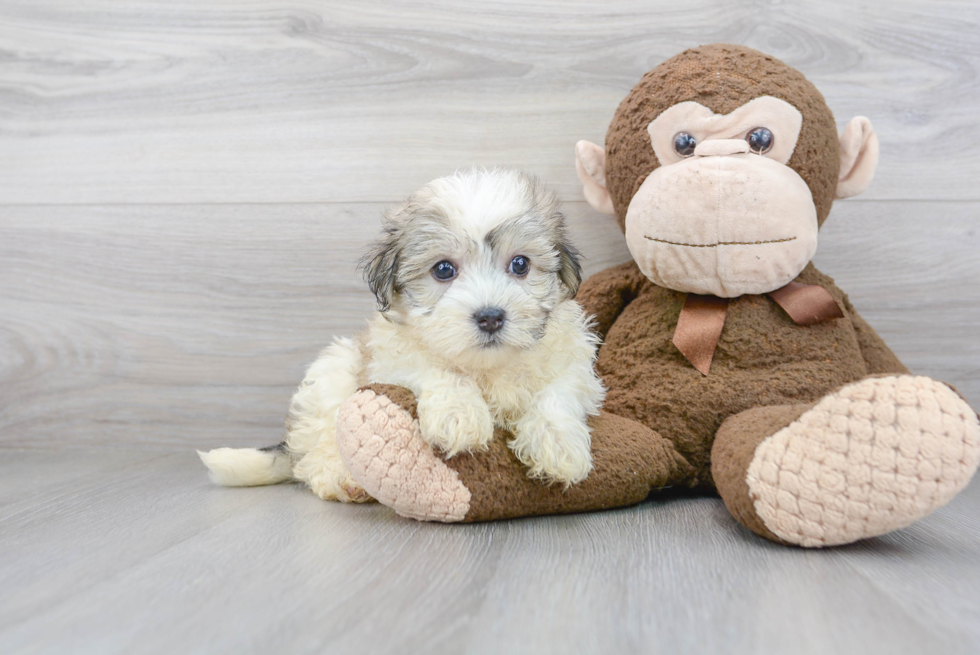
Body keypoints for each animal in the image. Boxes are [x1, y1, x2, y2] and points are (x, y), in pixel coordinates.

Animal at [199, 169, 604, 502]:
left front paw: (558, 445)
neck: (485, 366)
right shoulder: (391, 361)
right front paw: (458, 413)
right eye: (443, 270)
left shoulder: (574, 364)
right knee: (317, 448)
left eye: (520, 264)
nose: (490, 317)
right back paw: (341, 478)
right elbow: (434, 369)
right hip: (332, 373)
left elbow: (558, 393)